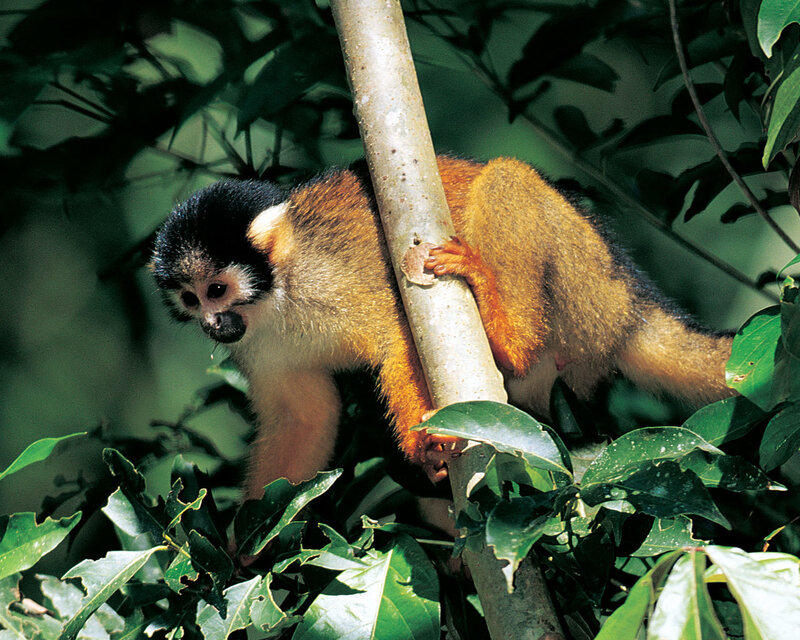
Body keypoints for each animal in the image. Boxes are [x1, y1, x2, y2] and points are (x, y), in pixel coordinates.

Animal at [152, 156, 735, 499]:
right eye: (189, 298)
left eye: (217, 290)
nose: (211, 324)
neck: (277, 299)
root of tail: (631, 301)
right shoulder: (255, 346)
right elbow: (304, 417)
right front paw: (246, 550)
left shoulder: (330, 280)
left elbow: (398, 335)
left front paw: (419, 443)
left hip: (586, 283)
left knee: (507, 178)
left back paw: (506, 337)